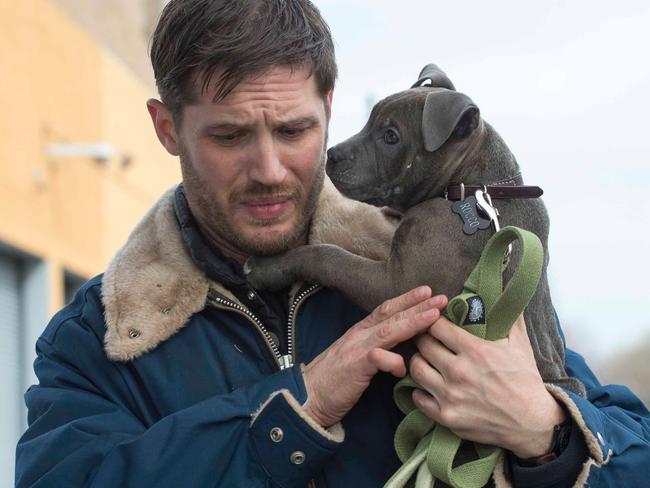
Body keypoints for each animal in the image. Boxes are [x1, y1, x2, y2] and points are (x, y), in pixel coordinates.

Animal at [247, 63, 584, 392]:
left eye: (391, 136)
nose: (332, 154)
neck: (473, 188)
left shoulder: (397, 284)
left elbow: (328, 256)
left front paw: (267, 268)